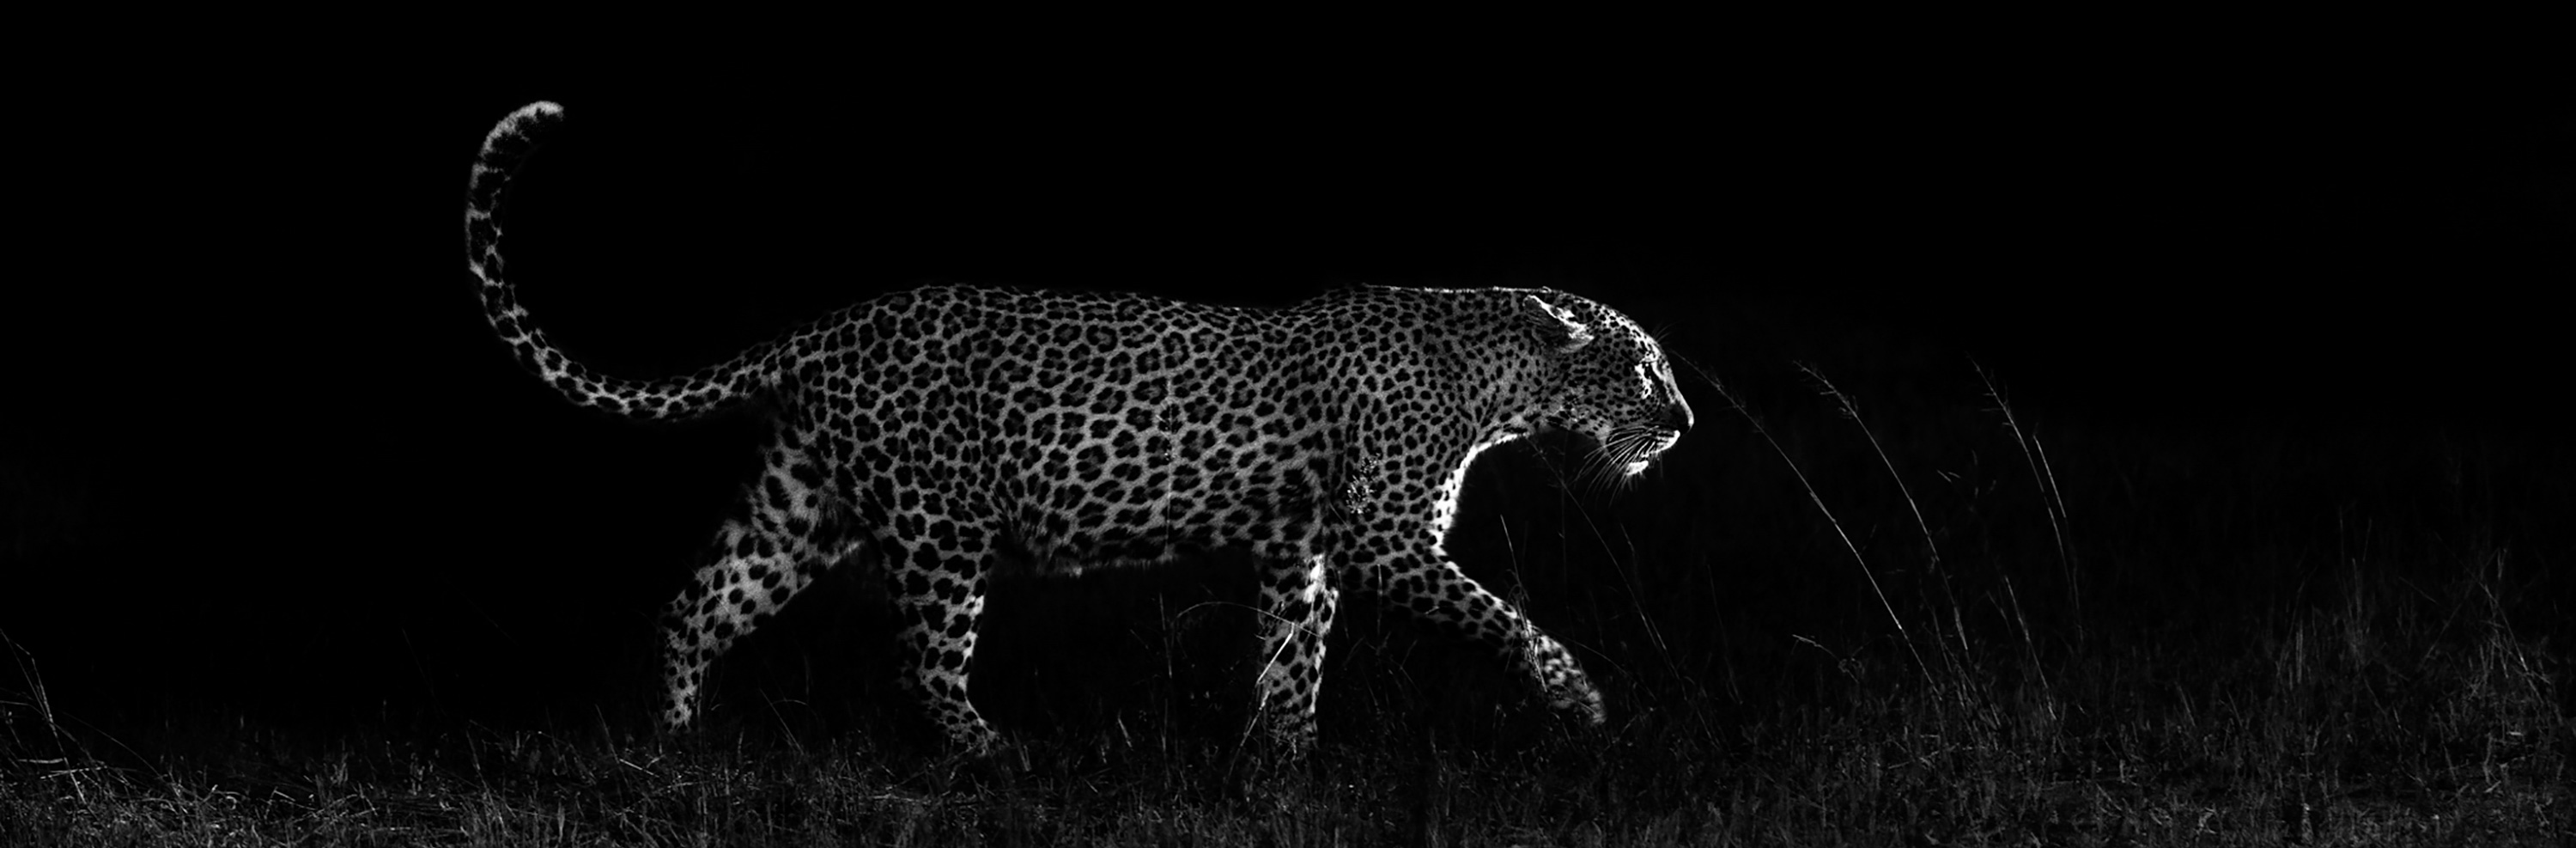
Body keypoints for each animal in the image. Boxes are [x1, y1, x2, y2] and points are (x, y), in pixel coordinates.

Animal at [462, 101, 1692, 752]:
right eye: (1641, 369)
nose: (1681, 424)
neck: (1496, 382)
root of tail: (818, 331)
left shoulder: (1302, 547)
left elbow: (1293, 657)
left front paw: (1283, 765)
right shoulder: (1387, 537)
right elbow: (1504, 618)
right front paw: (1579, 698)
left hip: (799, 507)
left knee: (698, 604)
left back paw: (673, 745)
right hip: (939, 527)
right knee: (922, 660)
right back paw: (995, 759)